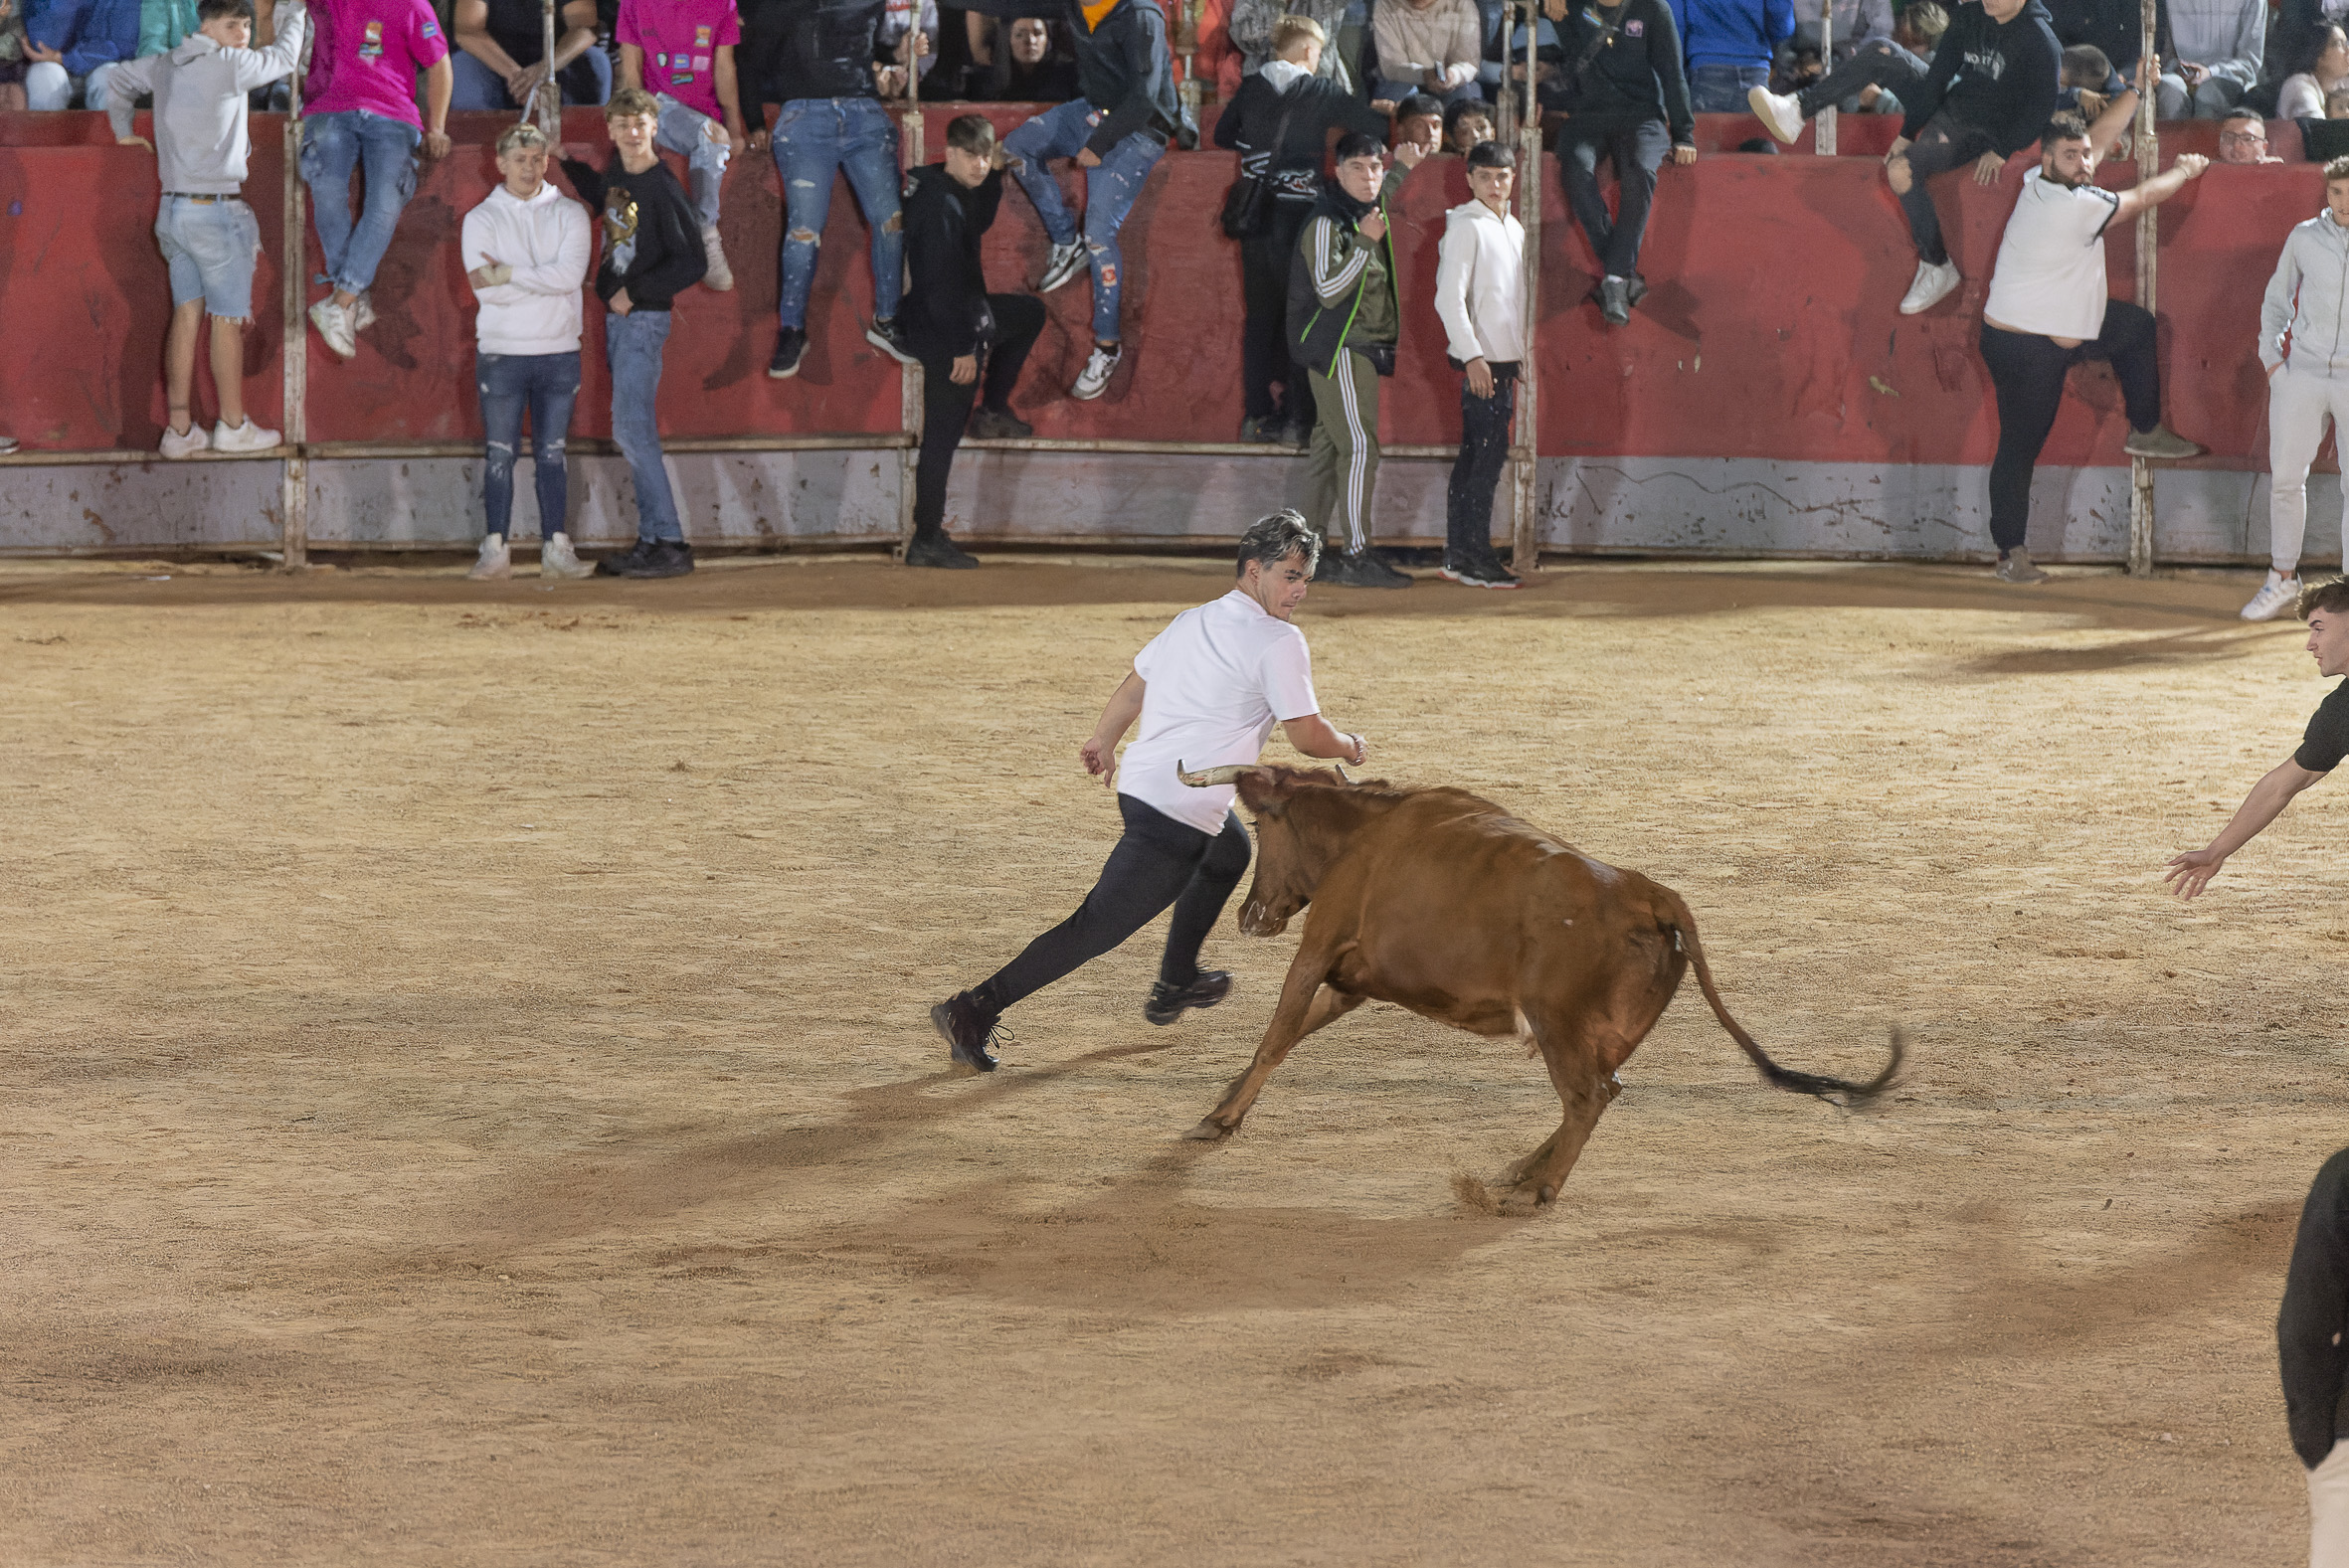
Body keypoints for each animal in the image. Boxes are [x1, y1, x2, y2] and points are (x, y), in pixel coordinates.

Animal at [1165, 760, 1897, 1211]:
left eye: (1261, 825)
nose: (1249, 914)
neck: (1364, 831)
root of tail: (1649, 893)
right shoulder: (1350, 983)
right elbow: (1292, 1033)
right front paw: (1223, 1106)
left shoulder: (1317, 947)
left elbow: (1277, 1035)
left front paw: (1217, 1119)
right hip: (1607, 1032)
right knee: (1603, 1091)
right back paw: (1523, 1170)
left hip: (1556, 1021)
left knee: (1586, 1097)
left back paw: (1534, 1191)